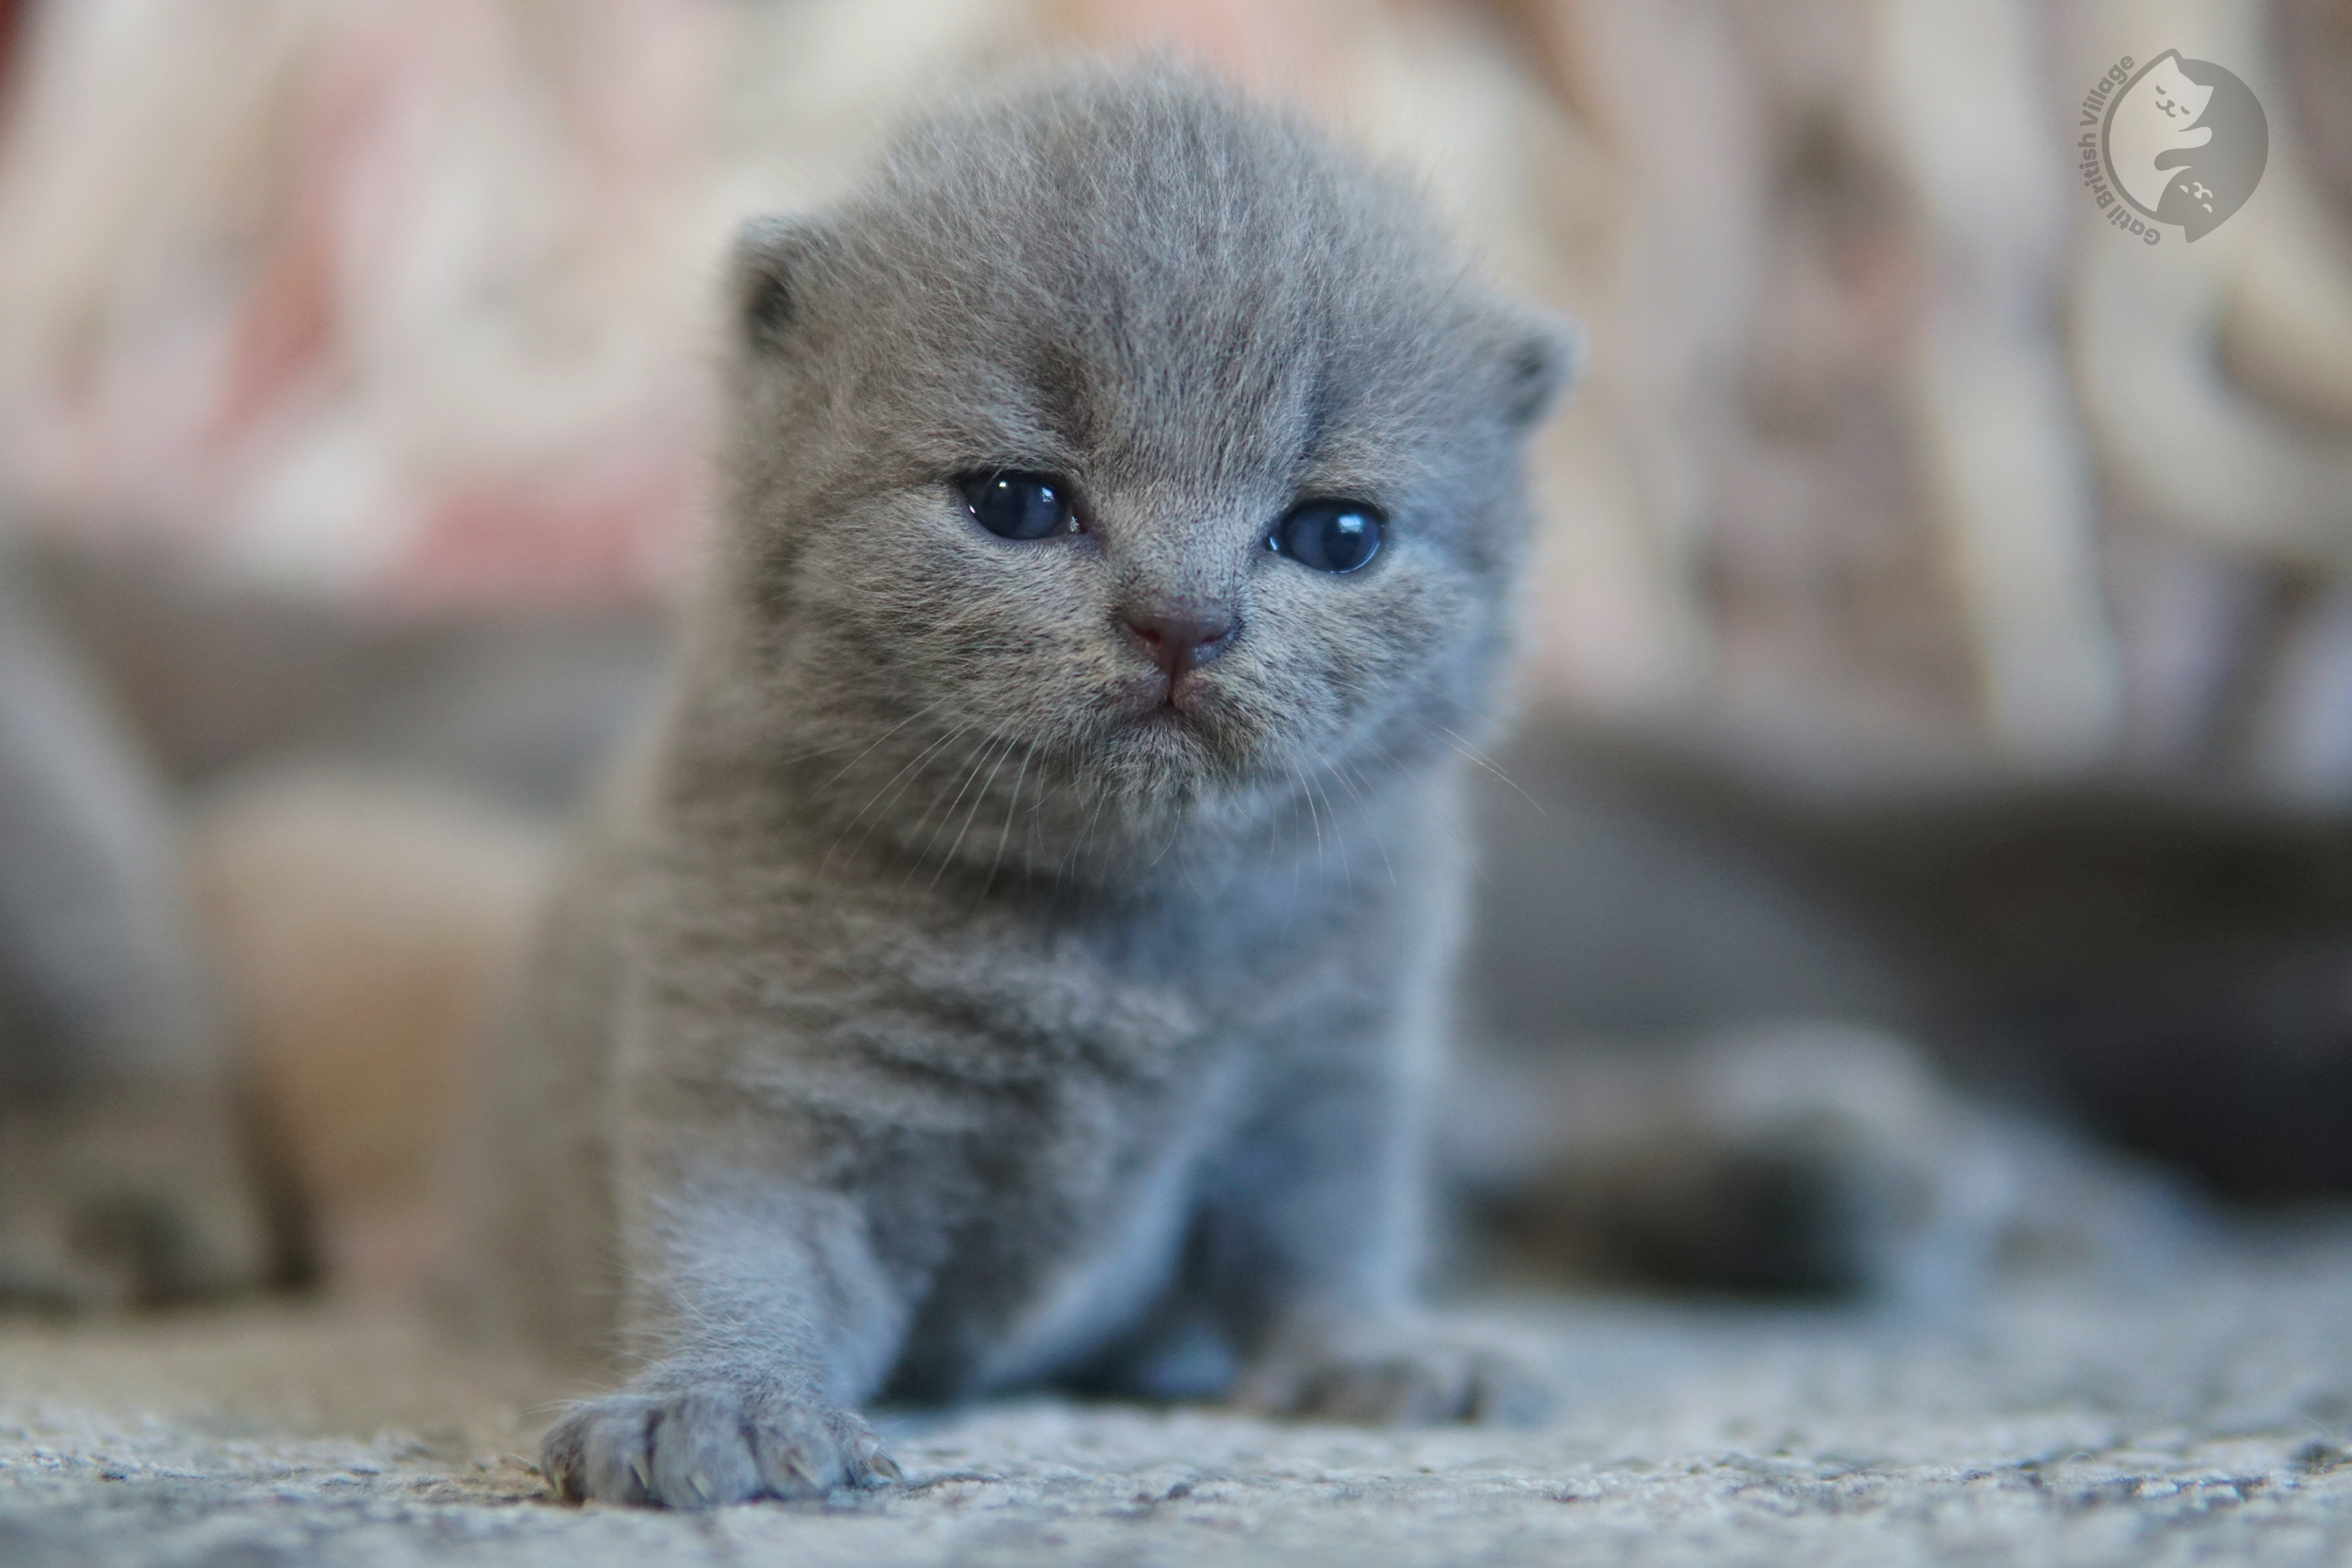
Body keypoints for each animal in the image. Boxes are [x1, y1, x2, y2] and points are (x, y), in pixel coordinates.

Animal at [472, 67, 1580, 1514]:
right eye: (1016, 501)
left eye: (1338, 533)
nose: (1184, 620)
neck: (1111, 933)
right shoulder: (760, 1067)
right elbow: (736, 1246)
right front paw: (719, 1404)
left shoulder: (1339, 1064)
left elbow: (1323, 1234)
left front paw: (1375, 1350)